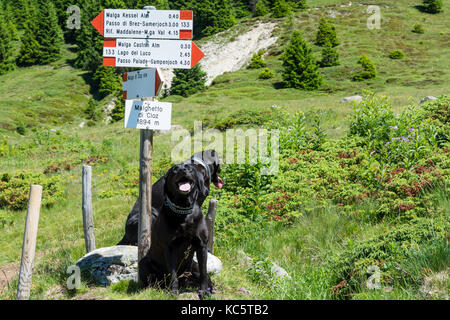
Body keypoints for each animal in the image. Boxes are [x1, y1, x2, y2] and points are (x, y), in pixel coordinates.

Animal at [137, 164, 213, 298]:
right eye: (174, 169)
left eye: (190, 168)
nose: (183, 170)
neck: (183, 210)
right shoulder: (170, 247)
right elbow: (173, 274)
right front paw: (173, 291)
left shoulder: (202, 246)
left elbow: (204, 272)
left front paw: (204, 291)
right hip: (144, 263)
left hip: (193, 266)